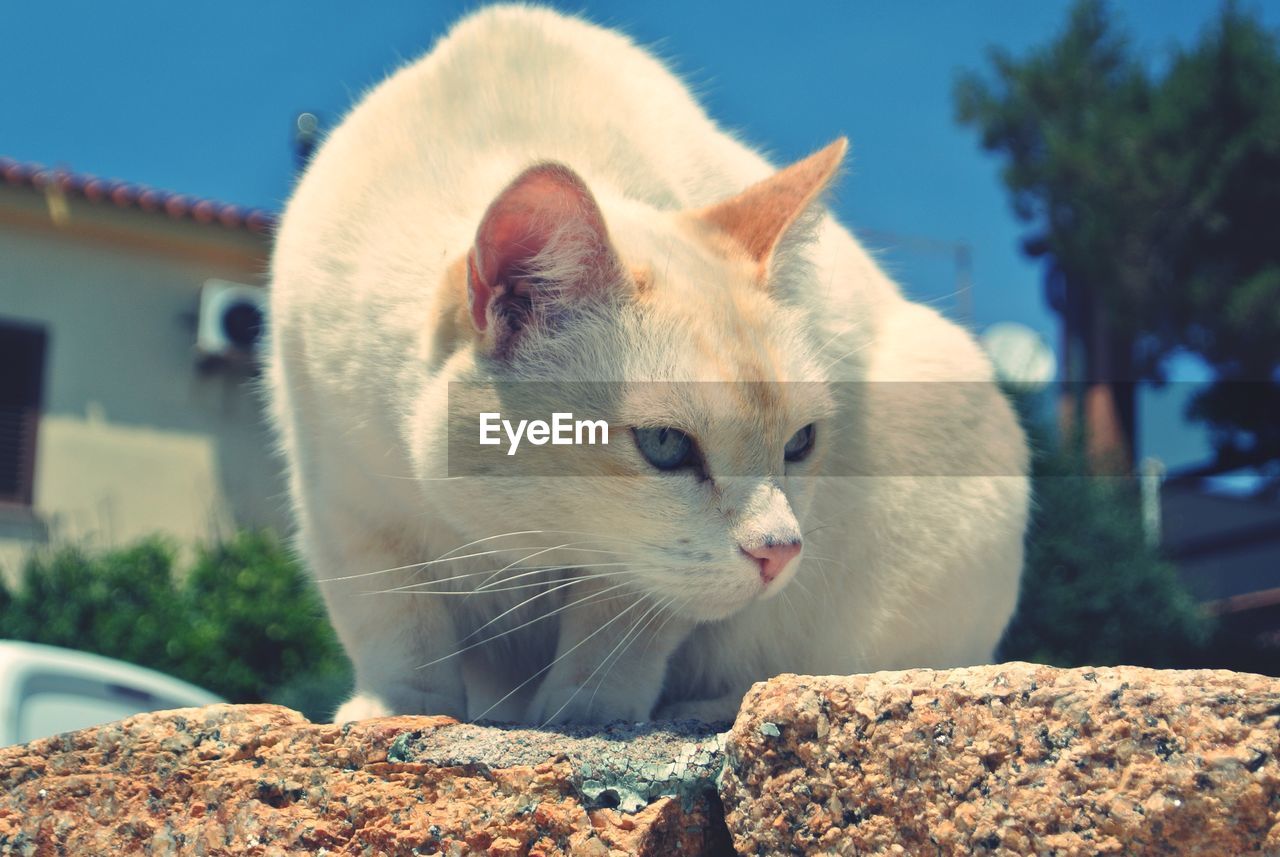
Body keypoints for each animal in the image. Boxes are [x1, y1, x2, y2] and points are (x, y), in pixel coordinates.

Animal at [267, 5, 1029, 726]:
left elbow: (619, 632)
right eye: (665, 445)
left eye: (801, 444)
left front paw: (589, 713)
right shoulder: (348, 509)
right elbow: (398, 630)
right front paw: (400, 710)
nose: (782, 552)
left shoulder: (642, 577)